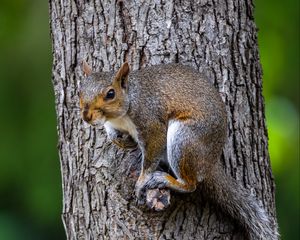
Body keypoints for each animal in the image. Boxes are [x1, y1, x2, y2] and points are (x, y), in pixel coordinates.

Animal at [79, 61, 278, 239]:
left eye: (110, 94)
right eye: (79, 92)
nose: (86, 117)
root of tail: (211, 163)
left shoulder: (151, 122)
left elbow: (151, 154)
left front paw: (142, 180)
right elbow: (113, 133)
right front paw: (121, 141)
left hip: (183, 140)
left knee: (190, 185)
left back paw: (166, 180)